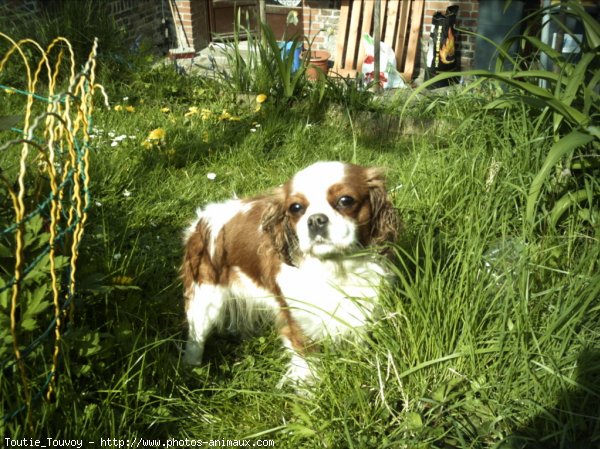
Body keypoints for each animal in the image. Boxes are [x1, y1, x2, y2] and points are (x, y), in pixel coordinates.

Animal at [180, 160, 400, 384]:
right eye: (296, 208)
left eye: (345, 200)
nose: (315, 219)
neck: (335, 268)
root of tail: (201, 219)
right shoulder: (299, 325)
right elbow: (307, 368)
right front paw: (309, 390)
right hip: (206, 300)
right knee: (196, 338)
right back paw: (191, 369)